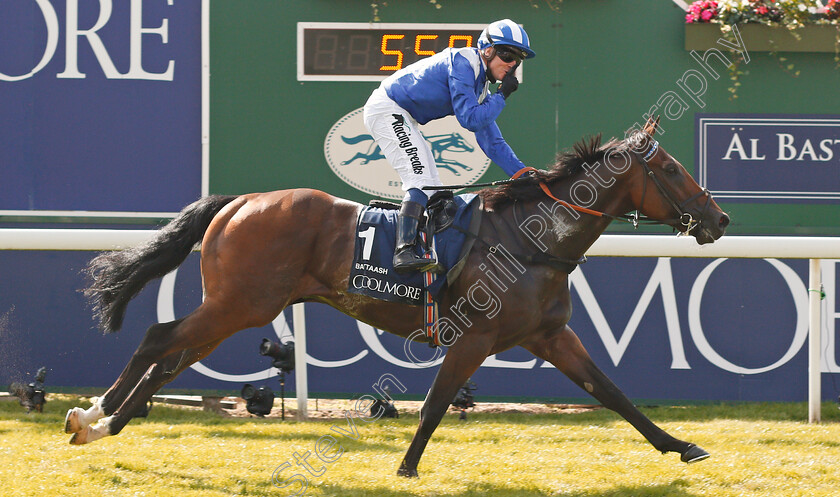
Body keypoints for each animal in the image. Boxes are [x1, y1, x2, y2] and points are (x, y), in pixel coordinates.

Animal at [64, 119, 728, 476]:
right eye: (672, 170)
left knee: (169, 356)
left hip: (236, 307)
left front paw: (683, 447)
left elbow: (611, 392)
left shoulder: (549, 335)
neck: (532, 239)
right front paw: (407, 466)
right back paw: (94, 417)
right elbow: (435, 404)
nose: (717, 218)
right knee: (160, 339)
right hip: (242, 304)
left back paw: (103, 420)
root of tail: (240, 200)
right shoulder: (476, 336)